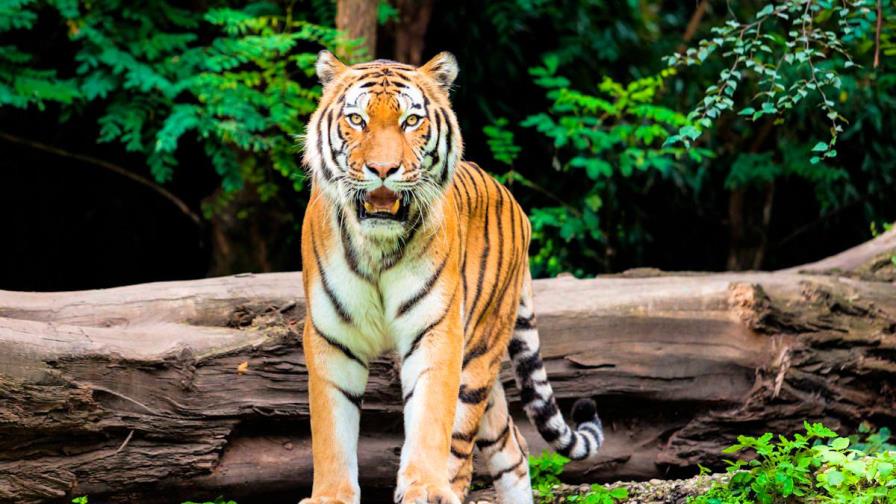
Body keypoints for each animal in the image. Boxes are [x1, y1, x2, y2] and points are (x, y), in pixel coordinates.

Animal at [299, 50, 604, 504]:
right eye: (357, 119)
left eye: (411, 120)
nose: (383, 169)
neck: (378, 248)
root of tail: (512, 199)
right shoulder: (331, 337)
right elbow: (330, 429)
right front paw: (331, 497)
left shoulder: (436, 330)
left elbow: (430, 418)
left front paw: (425, 487)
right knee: (513, 446)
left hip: (478, 351)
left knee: (465, 447)